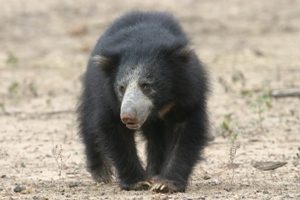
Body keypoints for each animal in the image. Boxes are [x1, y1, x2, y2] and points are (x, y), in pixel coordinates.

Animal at [77, 11, 209, 193]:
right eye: (121, 87)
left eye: (146, 85)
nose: (127, 116)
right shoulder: (106, 96)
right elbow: (114, 129)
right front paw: (138, 182)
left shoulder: (189, 92)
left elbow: (187, 132)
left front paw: (165, 183)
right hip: (91, 89)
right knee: (89, 124)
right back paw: (102, 173)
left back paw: (155, 172)